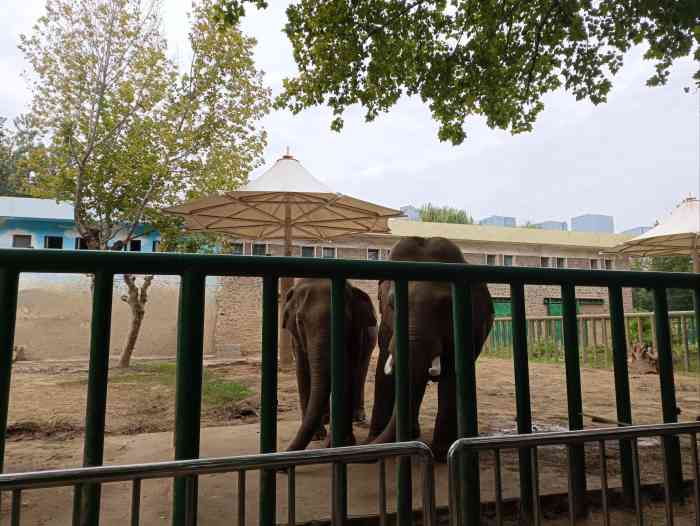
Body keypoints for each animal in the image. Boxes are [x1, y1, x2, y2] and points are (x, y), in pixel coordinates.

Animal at [282, 278, 378, 452]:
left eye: (345, 320)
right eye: (299, 321)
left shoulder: (356, 334)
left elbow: (348, 373)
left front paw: (344, 441)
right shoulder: (297, 340)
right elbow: (303, 373)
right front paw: (317, 436)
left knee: (360, 372)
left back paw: (358, 417)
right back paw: (326, 419)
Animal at [366, 237, 492, 460]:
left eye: (445, 306)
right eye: (391, 305)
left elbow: (452, 376)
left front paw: (442, 452)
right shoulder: (386, 328)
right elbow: (384, 372)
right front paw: (373, 445)